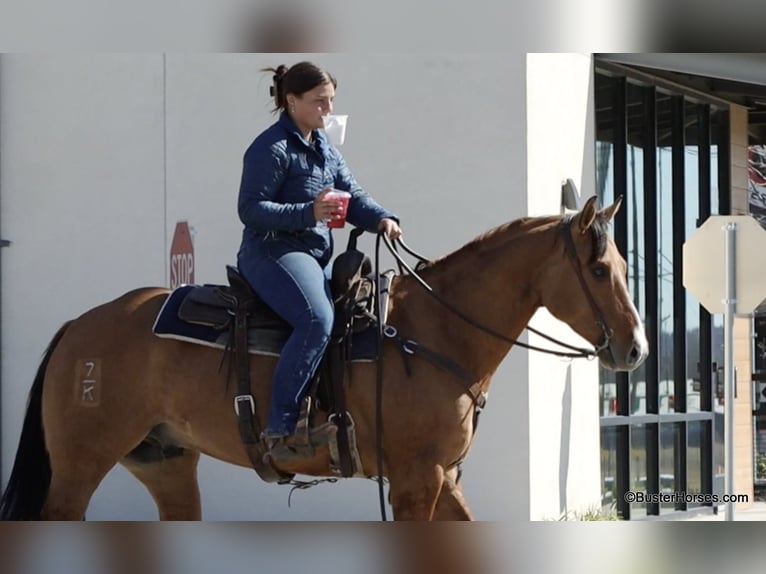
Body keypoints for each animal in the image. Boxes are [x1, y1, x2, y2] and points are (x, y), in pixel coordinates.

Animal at [0, 197, 648, 520]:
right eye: (598, 269)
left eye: (619, 264)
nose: (636, 349)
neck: (435, 331)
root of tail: (79, 327)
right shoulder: (416, 481)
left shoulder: (444, 477)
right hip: (80, 466)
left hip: (166, 463)